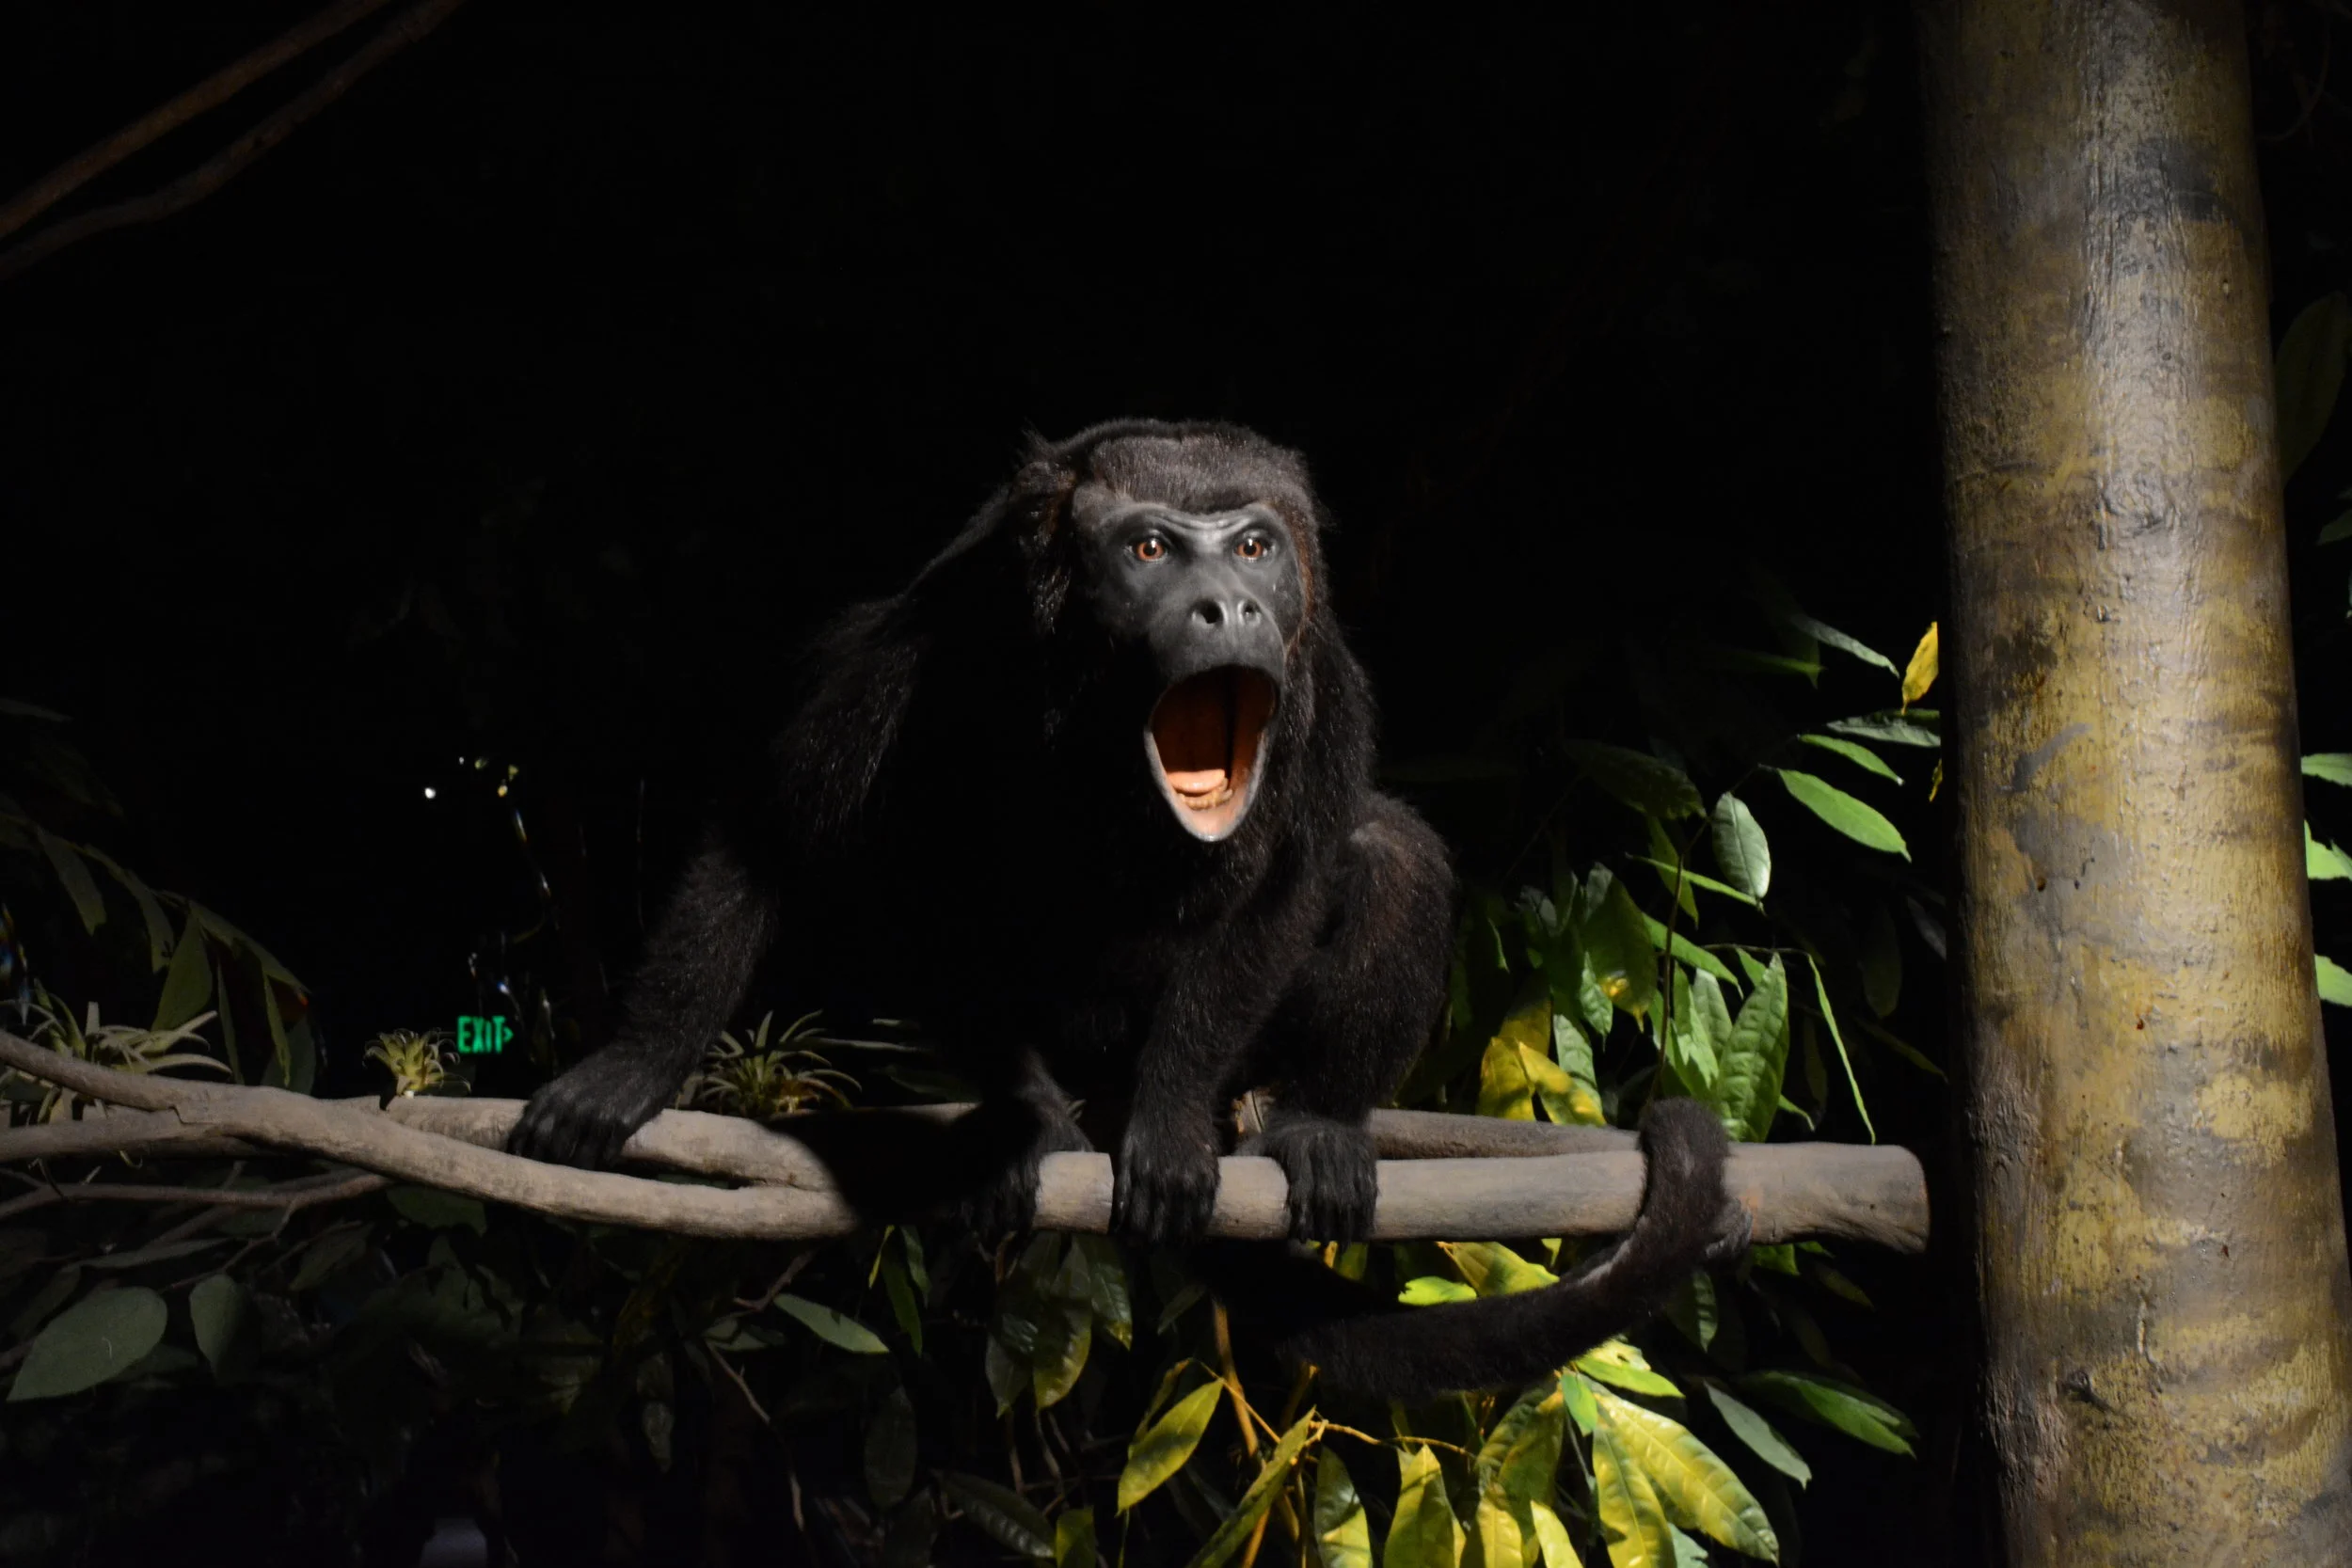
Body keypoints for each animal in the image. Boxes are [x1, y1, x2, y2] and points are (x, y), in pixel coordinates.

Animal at [508, 419, 1740, 1395]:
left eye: (1255, 546)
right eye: (1147, 548)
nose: (1229, 605)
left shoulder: (1325, 673)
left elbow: (1288, 889)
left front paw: (1173, 1122)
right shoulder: (941, 622)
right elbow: (777, 824)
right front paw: (638, 1062)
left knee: (1389, 853)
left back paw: (1316, 1127)